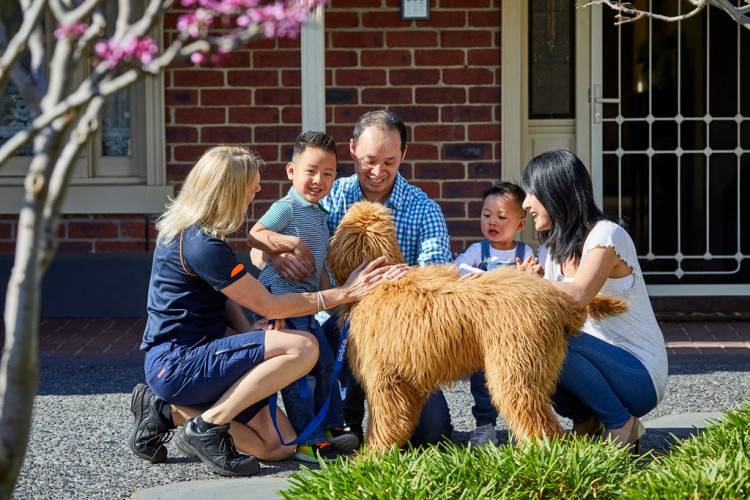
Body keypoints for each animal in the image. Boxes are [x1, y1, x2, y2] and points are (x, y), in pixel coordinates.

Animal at [328, 201, 628, 452]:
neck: (381, 281)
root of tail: (555, 296)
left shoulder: (385, 379)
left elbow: (384, 422)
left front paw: (370, 457)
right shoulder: (406, 382)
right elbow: (400, 419)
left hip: (515, 368)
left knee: (538, 422)